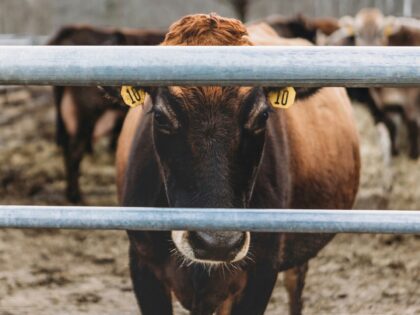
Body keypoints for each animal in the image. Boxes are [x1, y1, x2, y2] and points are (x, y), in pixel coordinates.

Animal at [328, 7, 420, 159]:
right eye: (358, 34)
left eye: (379, 33)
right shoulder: (386, 105)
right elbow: (391, 126)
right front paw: (395, 152)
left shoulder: (411, 103)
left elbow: (413, 127)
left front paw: (413, 156)